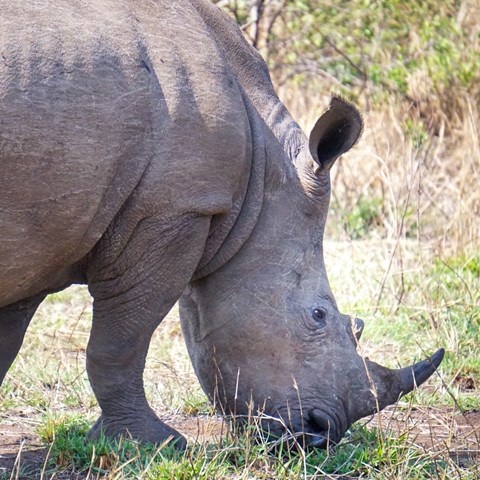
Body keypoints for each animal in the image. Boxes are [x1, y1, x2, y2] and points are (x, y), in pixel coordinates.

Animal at [0, 0, 442, 448]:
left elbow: (9, 337)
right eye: (318, 315)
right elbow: (124, 341)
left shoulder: (43, 237)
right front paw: (152, 444)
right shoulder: (174, 209)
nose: (318, 435)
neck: (261, 183)